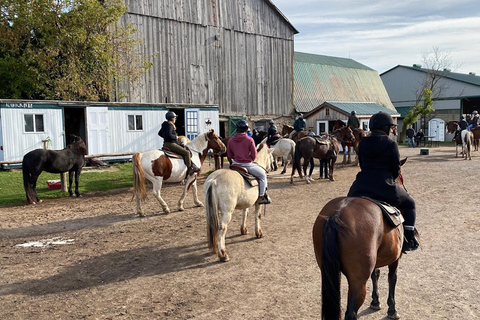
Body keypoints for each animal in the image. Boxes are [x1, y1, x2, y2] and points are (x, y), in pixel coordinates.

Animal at [314, 158, 410, 320]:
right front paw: (392, 309)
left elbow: (375, 274)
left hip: (328, 273)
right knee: (351, 312)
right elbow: (392, 278)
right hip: (357, 282)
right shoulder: (395, 258)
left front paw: (375, 301)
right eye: (401, 178)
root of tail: (337, 214)